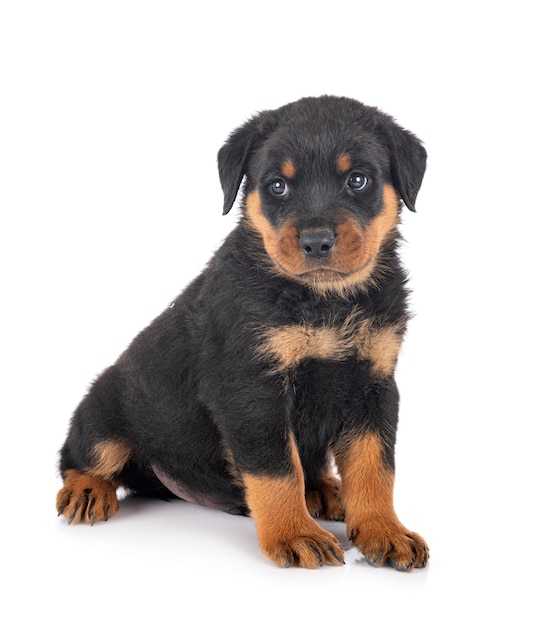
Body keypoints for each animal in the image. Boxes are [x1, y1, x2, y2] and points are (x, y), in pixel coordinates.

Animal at [56, 95, 430, 568]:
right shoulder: (251, 388)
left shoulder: (373, 383)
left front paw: (385, 531)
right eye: (277, 186)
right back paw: (86, 490)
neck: (323, 299)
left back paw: (324, 489)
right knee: (79, 454)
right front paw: (293, 535)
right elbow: (277, 470)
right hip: (105, 410)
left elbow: (374, 467)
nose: (316, 242)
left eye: (358, 180)